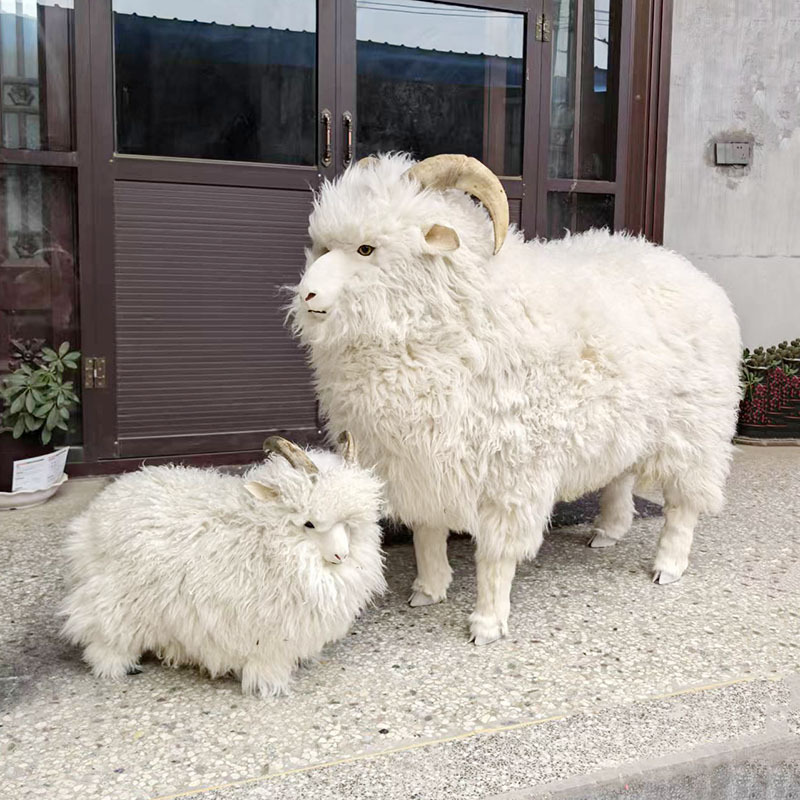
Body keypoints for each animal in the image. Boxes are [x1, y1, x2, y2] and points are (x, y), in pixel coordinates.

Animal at [60, 434, 386, 696]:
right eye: (309, 523)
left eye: (349, 525)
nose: (341, 556)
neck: (265, 534)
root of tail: (96, 513)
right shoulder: (262, 635)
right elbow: (265, 664)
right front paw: (268, 687)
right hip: (114, 602)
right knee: (102, 636)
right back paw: (116, 665)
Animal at [290, 152, 742, 646]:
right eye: (321, 247)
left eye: (367, 250)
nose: (306, 294)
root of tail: (687, 268)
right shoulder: (418, 463)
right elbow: (427, 532)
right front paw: (428, 589)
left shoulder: (510, 471)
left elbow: (496, 555)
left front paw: (487, 622)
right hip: (626, 421)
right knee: (620, 473)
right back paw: (608, 530)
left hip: (695, 427)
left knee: (683, 504)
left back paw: (669, 564)